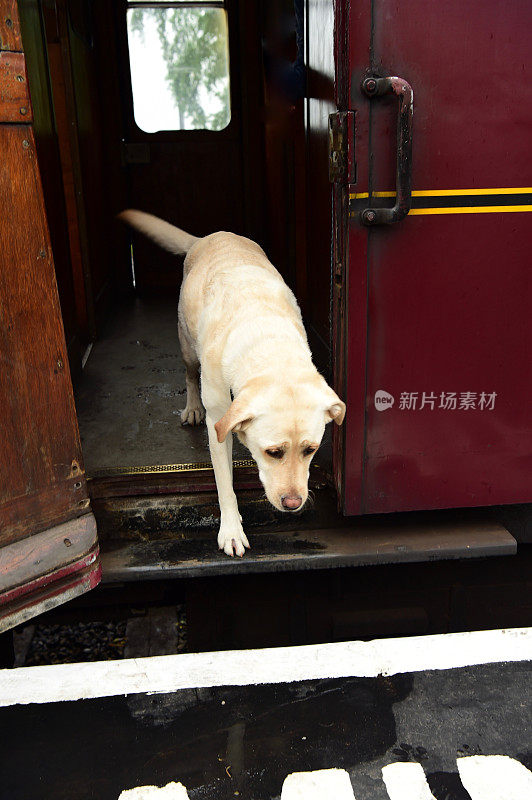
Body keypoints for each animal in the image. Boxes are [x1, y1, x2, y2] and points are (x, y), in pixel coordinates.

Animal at [118, 211, 348, 556]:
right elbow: (225, 483)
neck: (268, 345)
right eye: (273, 452)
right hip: (187, 346)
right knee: (189, 374)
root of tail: (209, 237)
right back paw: (192, 407)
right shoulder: (219, 423)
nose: (293, 503)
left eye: (311, 450)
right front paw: (231, 530)